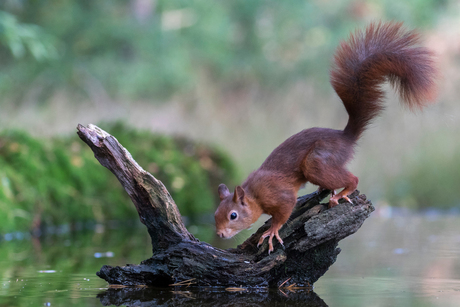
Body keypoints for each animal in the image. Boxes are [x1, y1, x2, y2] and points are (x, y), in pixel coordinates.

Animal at [214, 21, 436, 253]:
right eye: (215, 214)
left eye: (233, 215)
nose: (220, 234)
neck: (254, 194)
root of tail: (346, 137)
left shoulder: (280, 195)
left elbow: (283, 213)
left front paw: (272, 231)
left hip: (317, 163)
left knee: (353, 179)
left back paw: (340, 193)